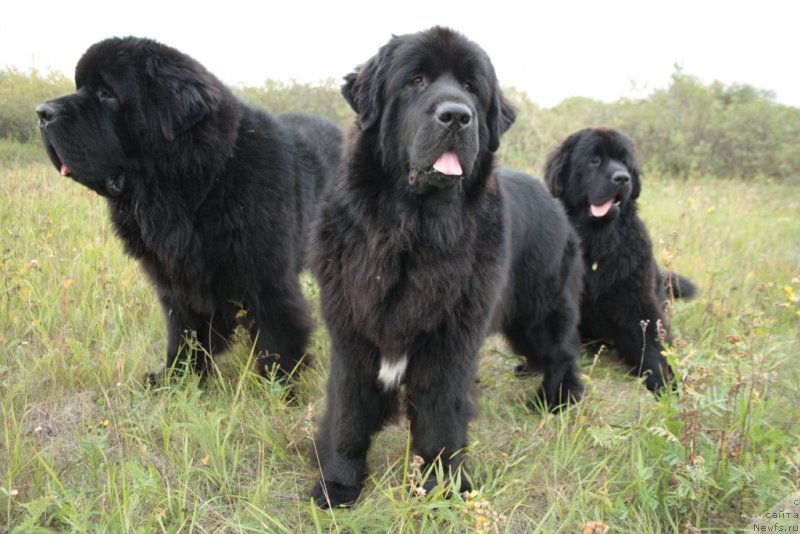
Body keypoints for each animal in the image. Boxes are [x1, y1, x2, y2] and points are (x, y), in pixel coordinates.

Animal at [36, 37, 342, 386]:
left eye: (106, 93)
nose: (42, 112)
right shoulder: (175, 280)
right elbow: (183, 330)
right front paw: (176, 378)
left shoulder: (266, 278)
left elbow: (276, 337)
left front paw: (279, 387)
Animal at [308, 26, 580, 510]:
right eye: (415, 81)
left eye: (472, 87)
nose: (457, 116)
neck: (409, 234)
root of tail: (552, 197)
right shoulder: (353, 335)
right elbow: (348, 415)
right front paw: (338, 483)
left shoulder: (449, 345)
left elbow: (439, 422)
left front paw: (440, 488)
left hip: (540, 310)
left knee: (564, 351)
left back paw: (555, 399)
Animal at [544, 126, 692, 394]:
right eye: (594, 160)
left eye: (624, 161)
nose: (622, 178)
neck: (596, 241)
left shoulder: (637, 300)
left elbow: (652, 342)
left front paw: (665, 381)